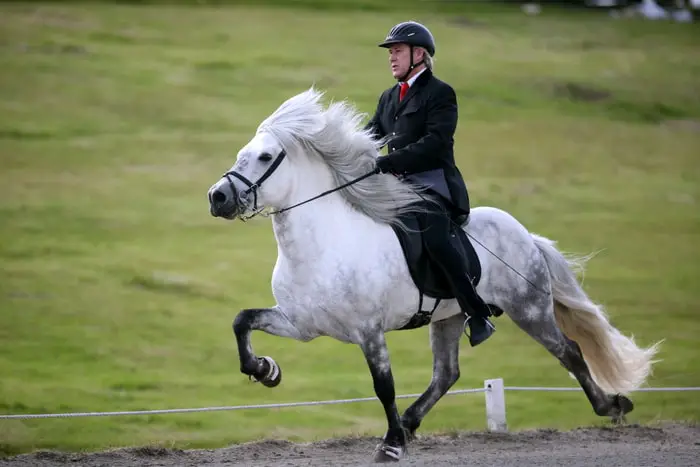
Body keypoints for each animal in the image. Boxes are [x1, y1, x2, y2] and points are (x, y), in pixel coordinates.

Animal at [206, 88, 660, 464]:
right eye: (243, 151)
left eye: (265, 157)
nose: (218, 197)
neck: (322, 245)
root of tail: (525, 234)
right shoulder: (300, 324)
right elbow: (242, 321)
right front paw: (265, 370)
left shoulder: (369, 332)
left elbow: (383, 386)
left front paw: (390, 445)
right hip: (451, 317)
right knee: (447, 374)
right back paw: (411, 422)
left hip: (528, 308)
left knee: (569, 351)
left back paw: (611, 406)